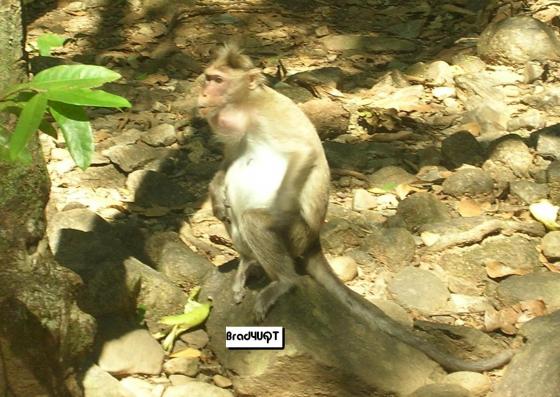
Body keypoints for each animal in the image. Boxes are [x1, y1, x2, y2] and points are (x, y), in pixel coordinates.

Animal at [196, 44, 512, 372]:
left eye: (217, 80)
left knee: (254, 221)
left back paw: (282, 280)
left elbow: (302, 154)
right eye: (208, 78)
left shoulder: (267, 118)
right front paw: (215, 193)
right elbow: (230, 161)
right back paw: (247, 262)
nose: (203, 94)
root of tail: (314, 241)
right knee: (233, 211)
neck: (246, 105)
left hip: (297, 235)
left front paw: (274, 217)